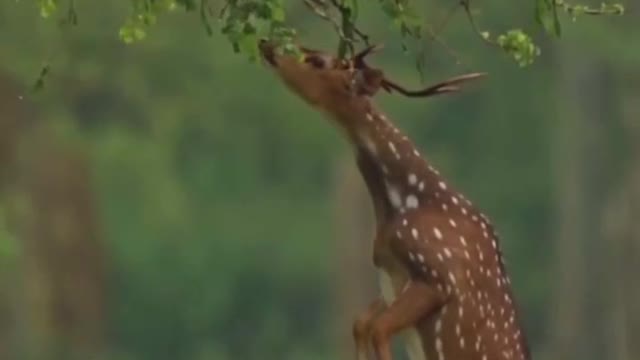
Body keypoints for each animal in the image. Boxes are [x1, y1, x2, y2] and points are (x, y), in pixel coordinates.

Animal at [258, 40, 532, 360]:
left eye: (318, 61)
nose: (267, 44)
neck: (402, 204)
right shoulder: (389, 276)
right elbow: (361, 323)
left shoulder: (436, 276)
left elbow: (379, 329)